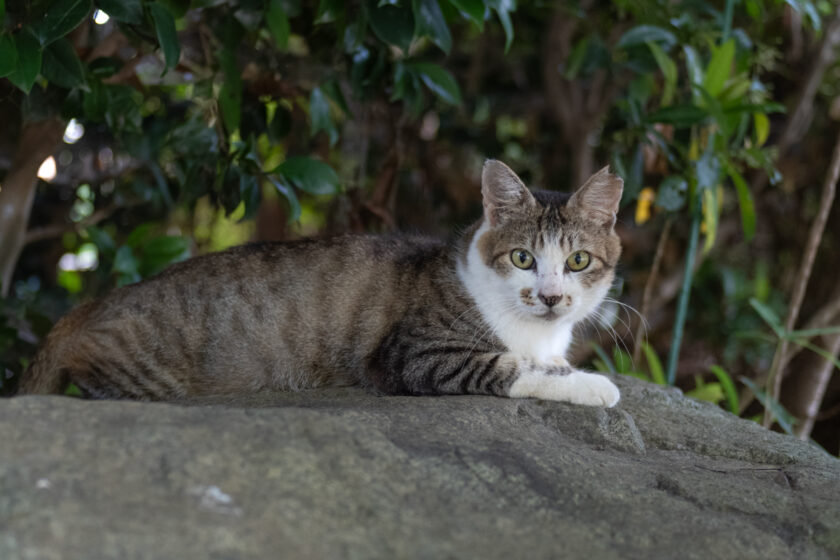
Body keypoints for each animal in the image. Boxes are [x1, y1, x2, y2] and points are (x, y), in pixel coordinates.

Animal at [18, 160, 624, 404]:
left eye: (577, 261)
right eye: (523, 258)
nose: (551, 296)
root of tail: (96, 304)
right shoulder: (415, 355)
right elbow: (512, 366)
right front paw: (594, 386)